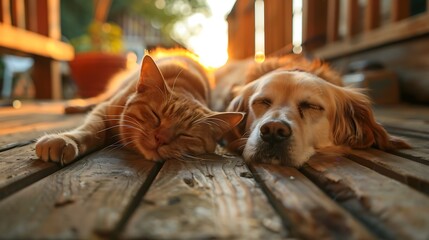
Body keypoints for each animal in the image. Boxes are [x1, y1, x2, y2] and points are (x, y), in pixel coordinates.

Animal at [36, 48, 244, 165]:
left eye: (186, 135)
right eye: (155, 115)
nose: (161, 139)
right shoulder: (104, 110)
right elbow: (91, 130)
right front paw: (66, 140)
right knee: (94, 100)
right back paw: (75, 106)